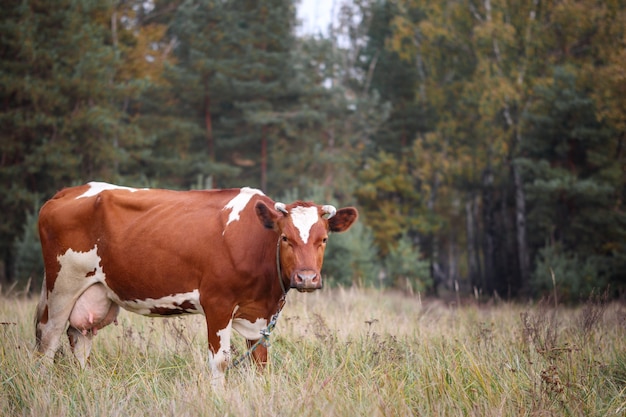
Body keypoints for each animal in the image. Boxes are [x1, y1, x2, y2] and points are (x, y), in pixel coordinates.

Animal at [35, 182, 356, 384]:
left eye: (323, 240)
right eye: (286, 238)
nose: (307, 278)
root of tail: (66, 192)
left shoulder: (262, 313)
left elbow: (260, 361)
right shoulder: (217, 304)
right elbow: (221, 361)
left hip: (95, 292)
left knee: (80, 338)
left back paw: (85, 381)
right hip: (62, 286)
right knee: (49, 339)